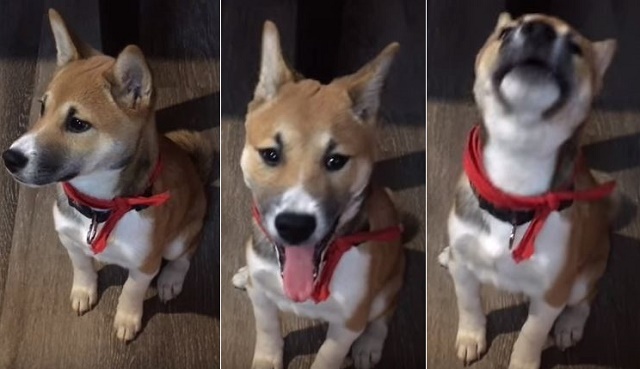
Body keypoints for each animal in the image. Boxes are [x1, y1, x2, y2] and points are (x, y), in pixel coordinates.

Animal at [1, 9, 215, 342]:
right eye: (42, 107)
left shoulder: (145, 263)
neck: (101, 206)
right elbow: (82, 268)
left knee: (187, 253)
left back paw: (171, 279)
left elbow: (131, 291)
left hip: (180, 237)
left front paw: (127, 319)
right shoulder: (70, 240)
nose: (10, 158)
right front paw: (83, 291)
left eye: (77, 123)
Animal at [232, 20, 404, 368]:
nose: (294, 226)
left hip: (389, 286)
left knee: (384, 315)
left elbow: (327, 355)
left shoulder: (349, 322)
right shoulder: (264, 300)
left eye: (335, 160)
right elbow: (267, 330)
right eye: (271, 154)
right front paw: (267, 358)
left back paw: (369, 346)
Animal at [440, 12, 616, 368]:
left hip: (582, 280)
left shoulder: (552, 294)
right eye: (505, 33)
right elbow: (469, 304)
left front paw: (523, 361)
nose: (538, 29)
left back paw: (570, 325)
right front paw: (470, 336)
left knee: (585, 300)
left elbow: (531, 334)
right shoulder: (464, 269)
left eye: (576, 47)